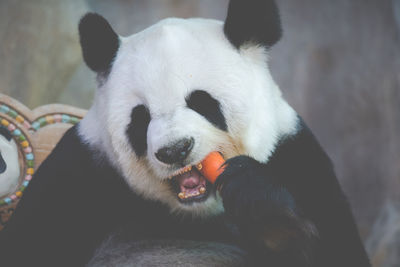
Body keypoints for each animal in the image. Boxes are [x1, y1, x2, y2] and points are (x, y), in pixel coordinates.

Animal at [0, 0, 370, 267]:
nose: (175, 150)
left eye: (202, 102)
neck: (196, 212)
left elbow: (341, 251)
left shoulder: (297, 157)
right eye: (141, 119)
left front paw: (266, 214)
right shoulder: (77, 174)